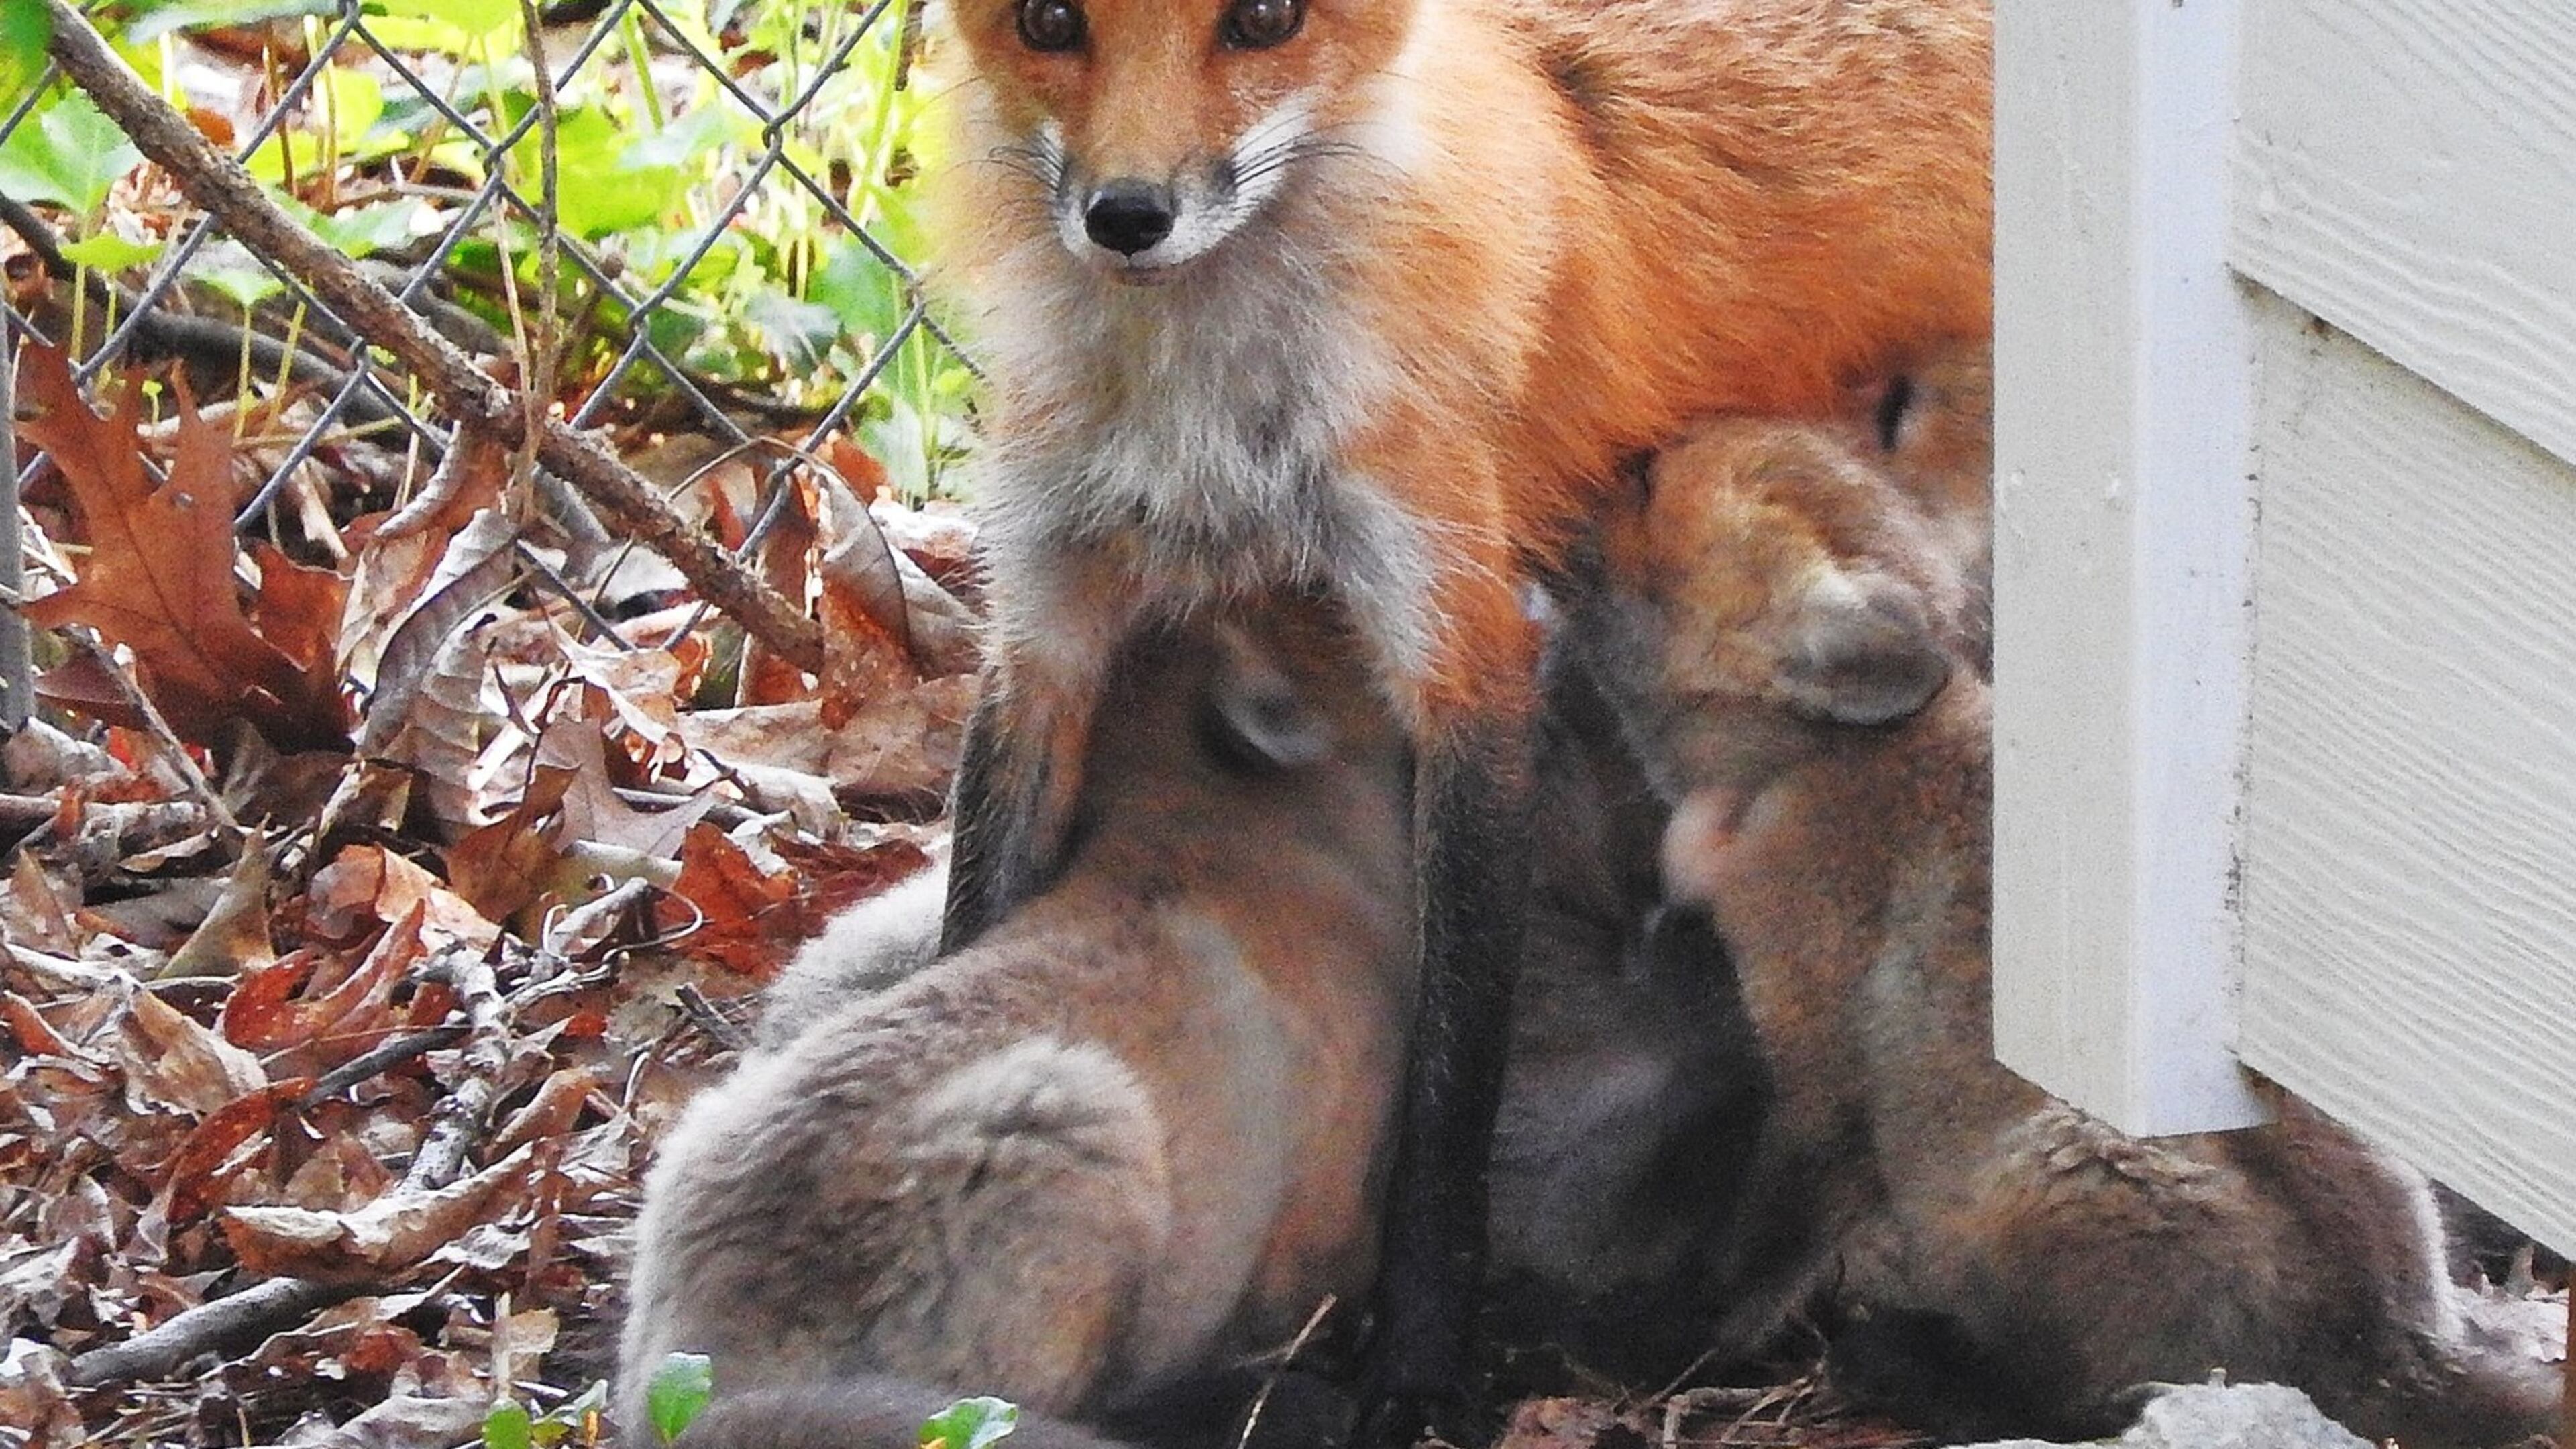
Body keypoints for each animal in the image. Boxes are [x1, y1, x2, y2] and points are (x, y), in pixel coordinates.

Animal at [919, 0, 1993, 1427]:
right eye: (1049, 23)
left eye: (1264, 20)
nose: (1128, 216)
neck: (1210, 432)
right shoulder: (1044, 637)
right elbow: (968, 935)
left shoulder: (1464, 658)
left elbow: (1447, 1097)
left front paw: (1421, 1375)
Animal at [1566, 370, 2564, 1445]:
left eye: (1643, 481)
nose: (1558, 495)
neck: (1810, 764)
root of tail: (2399, 1358)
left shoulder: (1819, 1068)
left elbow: (1753, 1254)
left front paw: (1658, 1344)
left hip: (2048, 1177)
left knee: (2079, 1399)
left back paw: (1909, 1365)